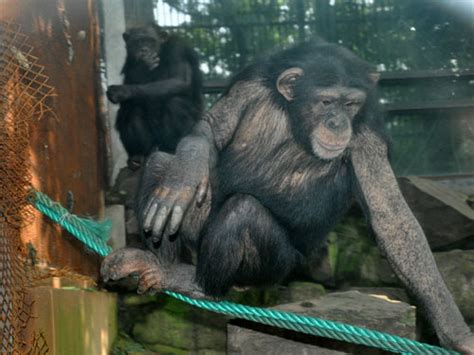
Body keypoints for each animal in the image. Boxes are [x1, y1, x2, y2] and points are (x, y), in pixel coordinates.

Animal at [101, 41, 474, 354]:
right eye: (327, 102)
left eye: (350, 104)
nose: (338, 122)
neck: (296, 118)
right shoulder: (250, 84)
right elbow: (209, 128)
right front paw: (186, 173)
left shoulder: (367, 133)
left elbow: (392, 220)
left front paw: (457, 334)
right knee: (162, 164)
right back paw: (158, 260)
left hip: (275, 269)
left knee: (243, 211)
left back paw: (195, 284)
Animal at [106, 24, 203, 164]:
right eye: (138, 41)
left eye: (150, 41)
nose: (145, 49)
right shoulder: (128, 61)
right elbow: (131, 82)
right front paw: (142, 65)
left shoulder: (178, 49)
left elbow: (180, 79)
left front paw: (122, 91)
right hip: (151, 143)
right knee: (132, 108)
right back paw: (138, 155)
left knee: (175, 102)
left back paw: (171, 146)